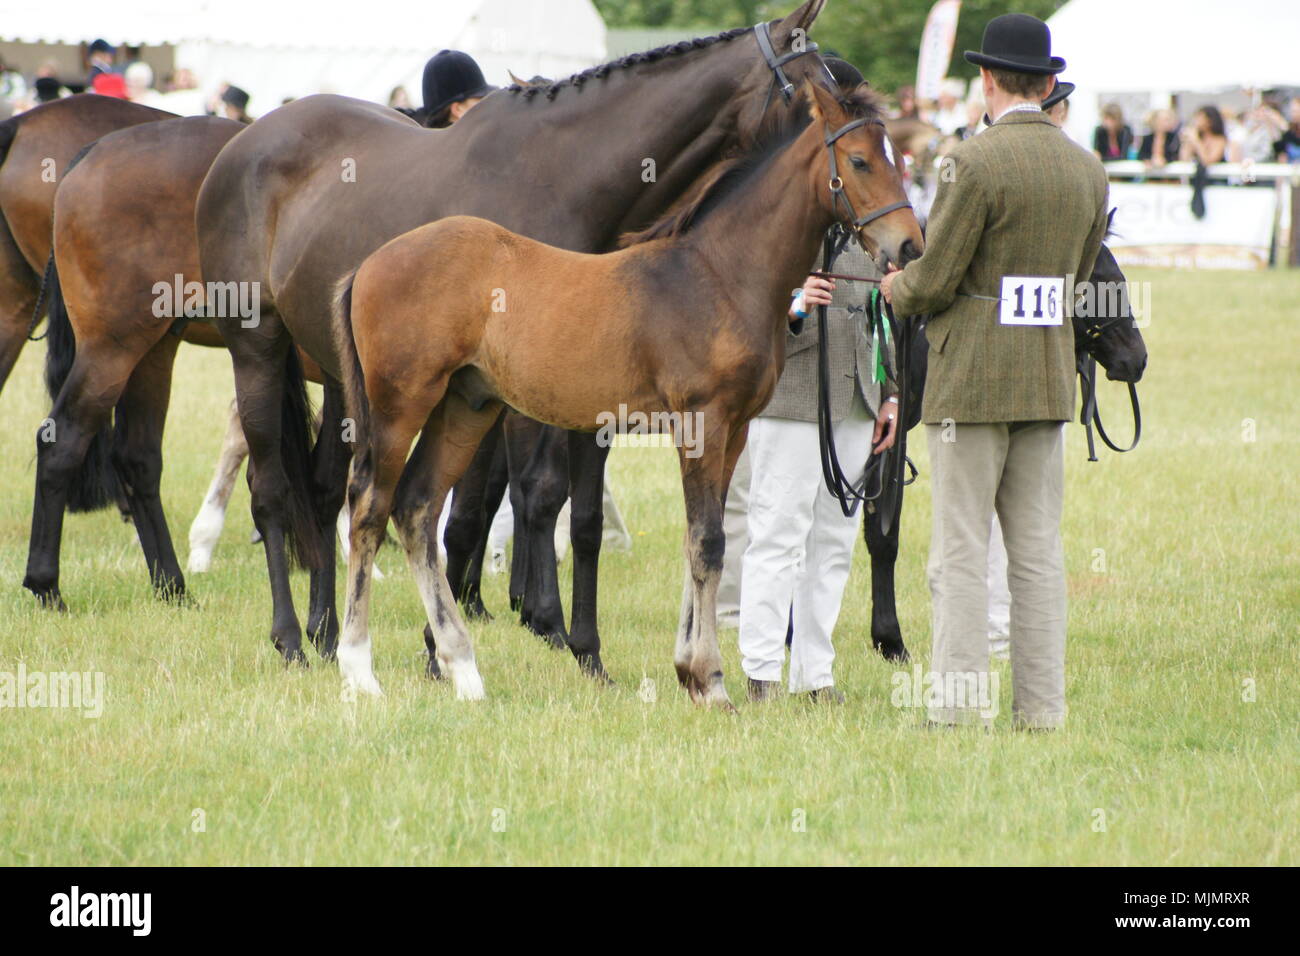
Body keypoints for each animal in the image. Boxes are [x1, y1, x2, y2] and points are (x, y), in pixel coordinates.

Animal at [197, 0, 837, 671]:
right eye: (824, 87)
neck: (563, 181)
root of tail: (243, 143)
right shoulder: (519, 394)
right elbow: (529, 494)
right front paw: (516, 628)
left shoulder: (580, 389)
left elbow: (566, 512)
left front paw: (571, 643)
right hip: (259, 350)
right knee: (272, 491)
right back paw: (291, 636)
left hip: (349, 383)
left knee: (326, 493)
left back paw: (326, 630)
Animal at [330, 80, 925, 702]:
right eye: (859, 160)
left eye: (899, 160)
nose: (910, 246)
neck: (718, 275)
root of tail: (367, 265)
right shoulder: (703, 424)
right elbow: (709, 542)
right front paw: (711, 680)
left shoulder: (734, 432)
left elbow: (702, 539)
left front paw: (689, 671)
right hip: (400, 406)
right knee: (370, 507)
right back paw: (359, 669)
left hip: (466, 407)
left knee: (417, 508)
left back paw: (464, 669)